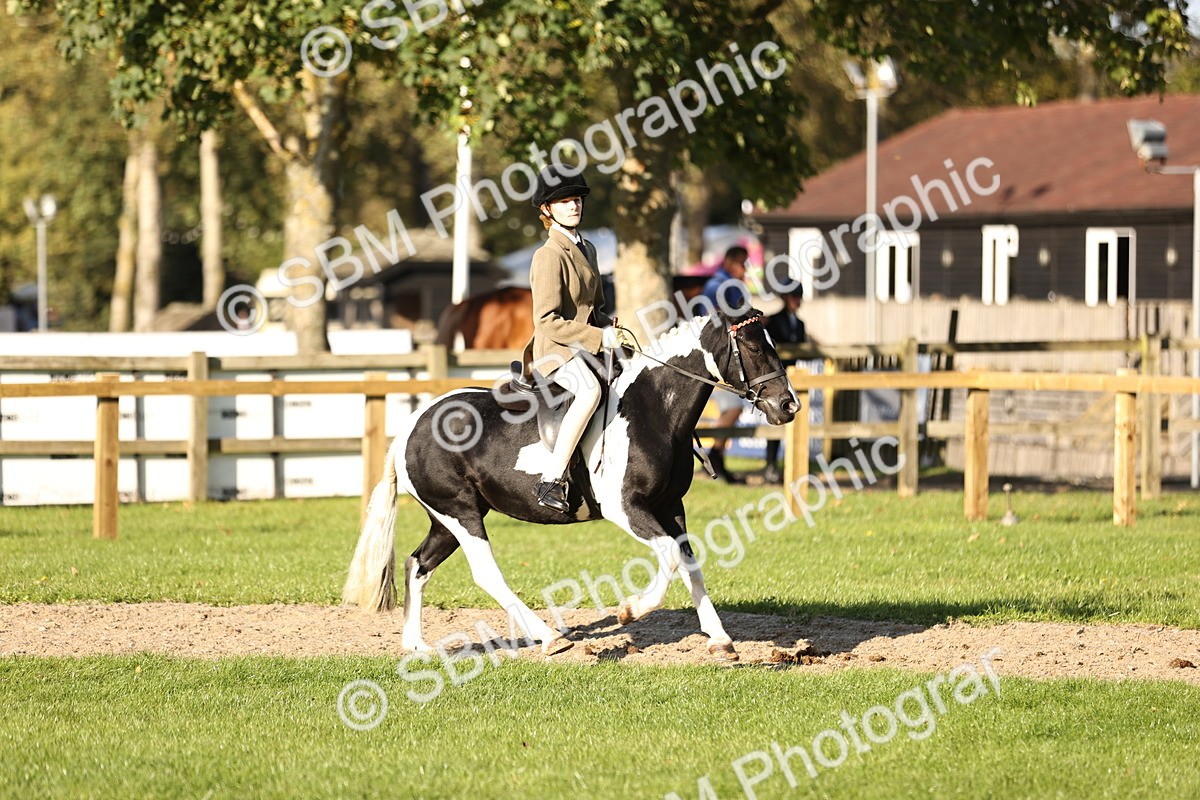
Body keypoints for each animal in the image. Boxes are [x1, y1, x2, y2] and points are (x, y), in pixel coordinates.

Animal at [343, 307, 799, 660]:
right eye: (754, 348)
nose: (789, 405)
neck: (653, 408)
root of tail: (411, 426)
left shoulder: (671, 507)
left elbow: (690, 564)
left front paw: (720, 640)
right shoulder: (627, 509)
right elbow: (670, 558)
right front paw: (630, 610)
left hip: (447, 519)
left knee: (417, 565)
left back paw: (416, 644)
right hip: (461, 514)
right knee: (485, 574)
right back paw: (550, 638)